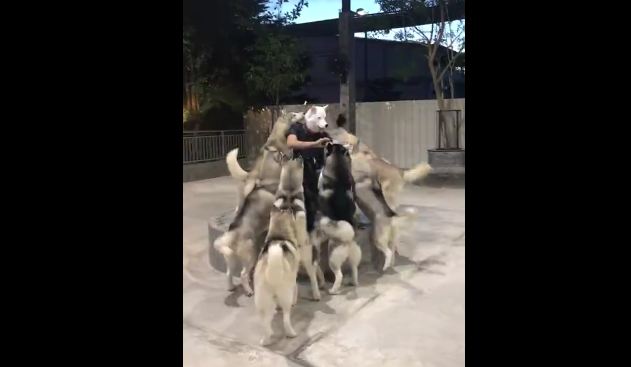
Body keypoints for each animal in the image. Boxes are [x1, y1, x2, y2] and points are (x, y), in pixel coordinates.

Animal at [256, 207, 304, 348]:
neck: (279, 236)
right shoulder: (294, 277)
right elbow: (296, 287)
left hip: (262, 301)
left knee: (265, 323)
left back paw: (266, 339)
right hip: (285, 296)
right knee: (286, 319)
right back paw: (291, 333)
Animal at [314, 142, 362, 294]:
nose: (325, 142)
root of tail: (348, 241)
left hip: (333, 259)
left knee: (339, 275)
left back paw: (333, 290)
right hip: (354, 257)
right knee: (354, 270)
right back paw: (353, 282)